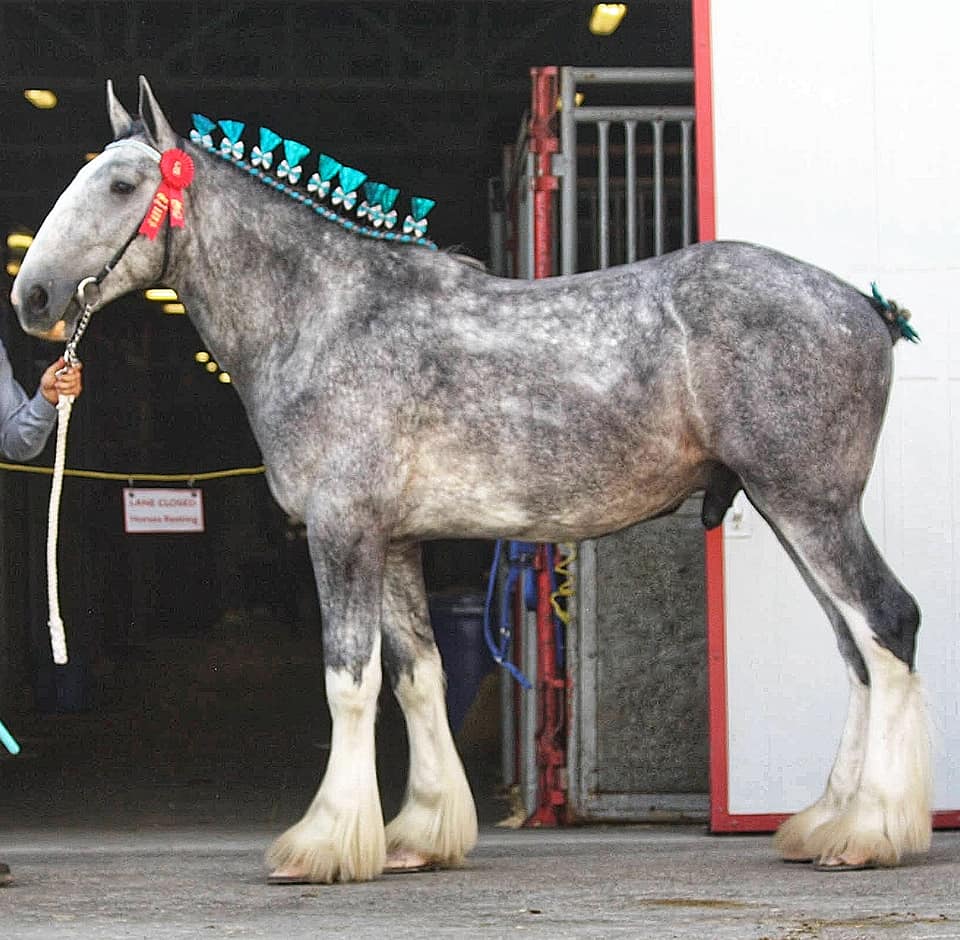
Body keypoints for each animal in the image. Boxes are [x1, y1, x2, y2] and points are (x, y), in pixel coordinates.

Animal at [11, 77, 930, 882]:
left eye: (122, 183)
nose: (33, 296)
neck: (324, 318)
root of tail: (864, 306)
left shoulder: (342, 531)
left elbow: (349, 681)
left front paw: (324, 845)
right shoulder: (394, 542)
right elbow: (418, 676)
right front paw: (418, 836)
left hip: (810, 506)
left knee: (887, 623)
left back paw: (870, 835)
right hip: (789, 510)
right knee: (855, 645)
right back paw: (828, 824)